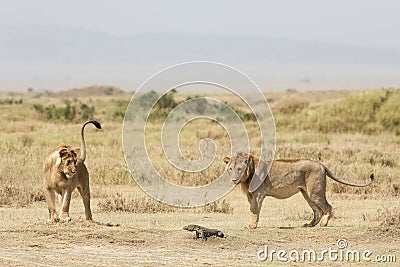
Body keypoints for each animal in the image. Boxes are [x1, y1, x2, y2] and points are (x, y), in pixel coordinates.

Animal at [223, 153, 374, 230]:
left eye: (240, 169)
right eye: (231, 168)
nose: (234, 180)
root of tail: (322, 165)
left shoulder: (258, 194)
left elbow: (254, 211)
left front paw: (251, 226)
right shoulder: (251, 195)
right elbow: (252, 210)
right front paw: (252, 224)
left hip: (314, 192)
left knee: (328, 207)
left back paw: (324, 224)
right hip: (306, 193)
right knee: (317, 210)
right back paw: (310, 225)